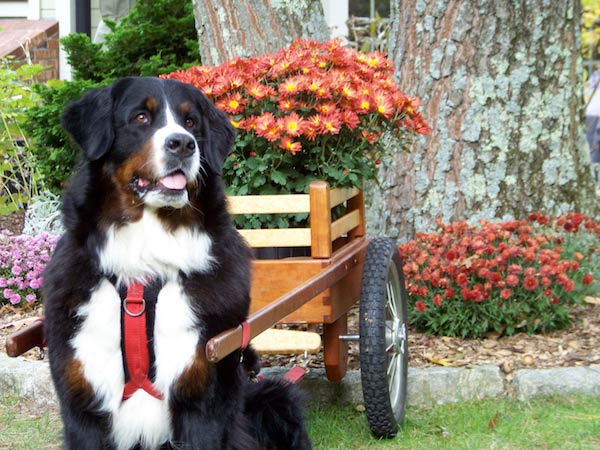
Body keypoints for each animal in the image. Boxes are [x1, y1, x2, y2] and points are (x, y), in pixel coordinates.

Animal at [42, 78, 312, 450]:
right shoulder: (82, 402)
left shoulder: (204, 401)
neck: (145, 267)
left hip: (274, 398)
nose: (183, 144)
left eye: (191, 122)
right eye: (141, 117)